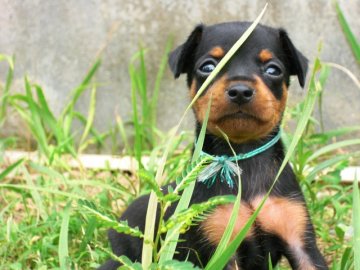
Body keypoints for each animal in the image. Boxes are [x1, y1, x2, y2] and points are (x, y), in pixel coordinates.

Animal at [100, 22, 328, 268]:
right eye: (208, 67)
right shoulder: (221, 248)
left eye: (273, 70)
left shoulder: (300, 242)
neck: (241, 154)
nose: (240, 91)